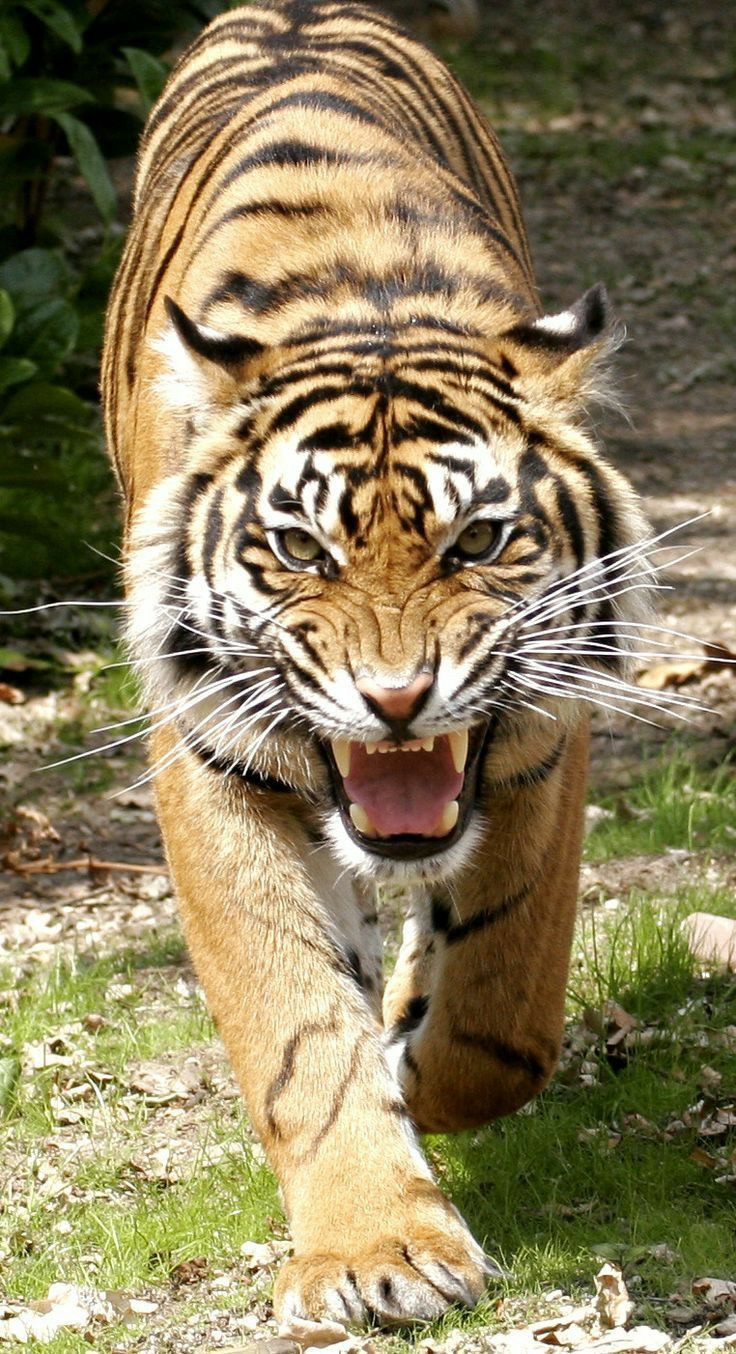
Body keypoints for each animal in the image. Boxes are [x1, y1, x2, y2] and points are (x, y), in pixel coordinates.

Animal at [102, 0, 649, 1332]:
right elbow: (299, 1026)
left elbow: (502, 1005)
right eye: (301, 548)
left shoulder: (544, 731)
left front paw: (421, 1054)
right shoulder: (208, 751)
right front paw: (373, 1248)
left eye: (481, 540)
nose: (396, 699)